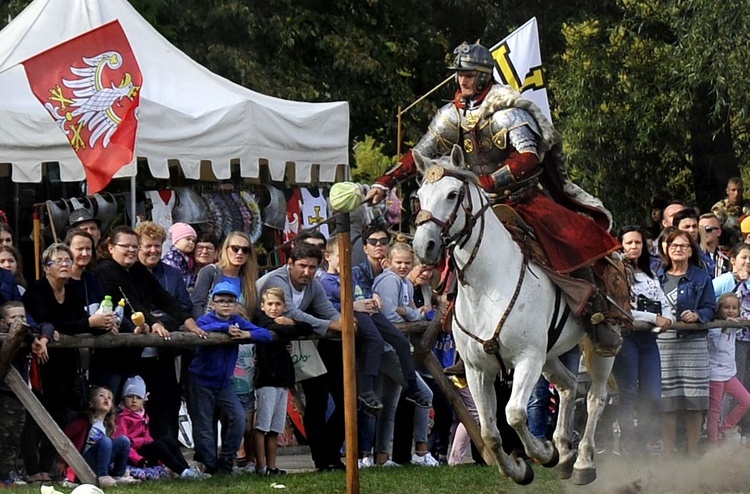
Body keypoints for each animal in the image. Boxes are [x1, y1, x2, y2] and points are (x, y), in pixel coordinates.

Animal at [412, 145, 616, 484]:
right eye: (419, 195)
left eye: (453, 194)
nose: (423, 247)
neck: (489, 285)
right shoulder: (477, 369)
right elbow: (489, 431)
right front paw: (520, 469)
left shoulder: (527, 358)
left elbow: (515, 414)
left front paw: (542, 453)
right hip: (549, 355)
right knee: (568, 385)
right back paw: (564, 453)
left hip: (597, 347)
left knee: (595, 397)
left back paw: (583, 463)